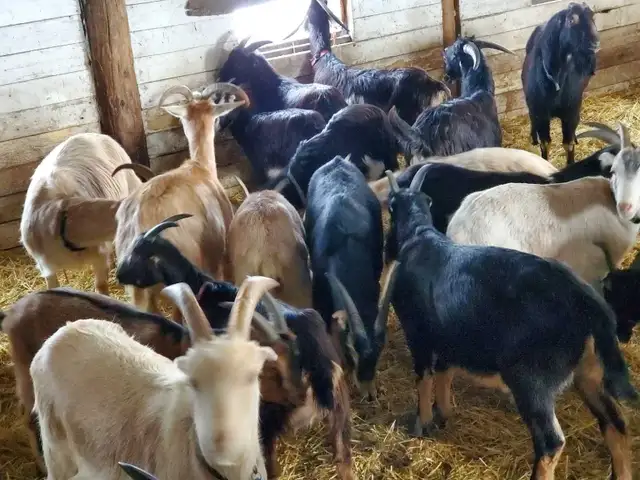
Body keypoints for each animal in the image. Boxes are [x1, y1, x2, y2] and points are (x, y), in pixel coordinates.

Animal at [115, 217, 354, 480]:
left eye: (138, 254)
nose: (119, 274)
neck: (202, 287)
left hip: (266, 418)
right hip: (340, 410)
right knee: (343, 458)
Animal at [380, 167, 638, 479]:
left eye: (391, 207)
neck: (420, 238)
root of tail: (590, 306)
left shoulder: (418, 332)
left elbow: (424, 377)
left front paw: (423, 423)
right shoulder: (449, 334)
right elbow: (444, 372)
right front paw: (443, 414)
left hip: (532, 380)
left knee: (551, 442)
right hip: (589, 371)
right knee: (616, 424)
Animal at [522, 2, 600, 164]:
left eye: (593, 16)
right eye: (571, 20)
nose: (595, 42)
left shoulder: (571, 112)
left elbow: (568, 144)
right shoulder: (540, 113)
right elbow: (545, 143)